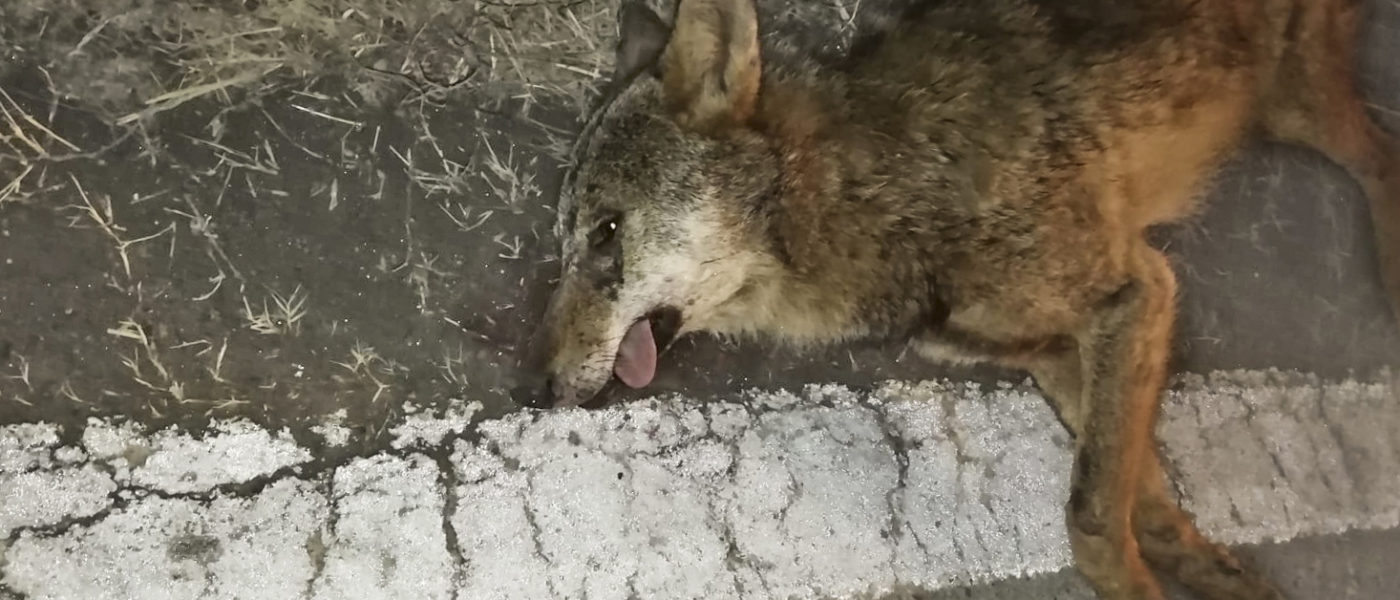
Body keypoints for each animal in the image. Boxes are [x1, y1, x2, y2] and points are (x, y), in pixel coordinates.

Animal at [520, 0, 1400, 598]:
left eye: (606, 233)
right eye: (566, 244)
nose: (543, 388)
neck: (873, 189)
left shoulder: (1135, 291)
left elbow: (1090, 517)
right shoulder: (1053, 351)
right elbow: (1138, 497)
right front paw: (1217, 572)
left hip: (1297, 106)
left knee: (1381, 155)